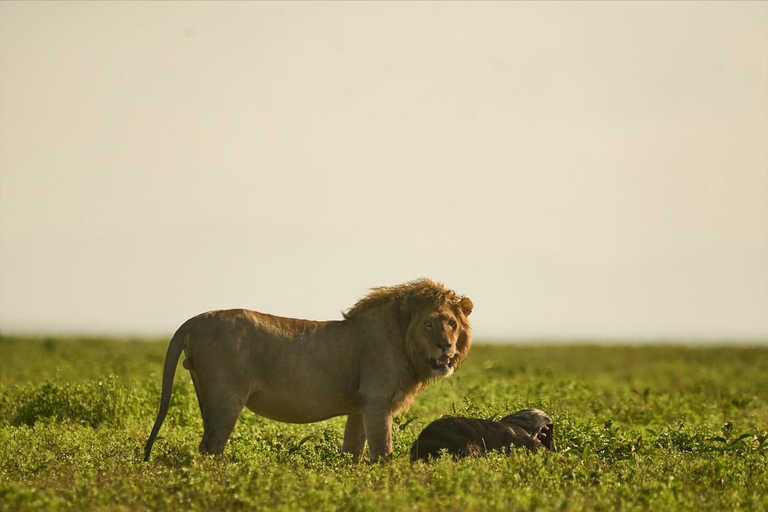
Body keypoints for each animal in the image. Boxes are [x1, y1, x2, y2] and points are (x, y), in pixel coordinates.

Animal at [141, 280, 472, 464]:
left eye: (452, 323)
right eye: (428, 324)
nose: (445, 346)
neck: (406, 345)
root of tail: (195, 319)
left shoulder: (360, 407)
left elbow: (352, 453)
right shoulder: (378, 402)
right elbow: (383, 454)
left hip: (205, 394)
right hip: (226, 399)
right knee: (211, 448)